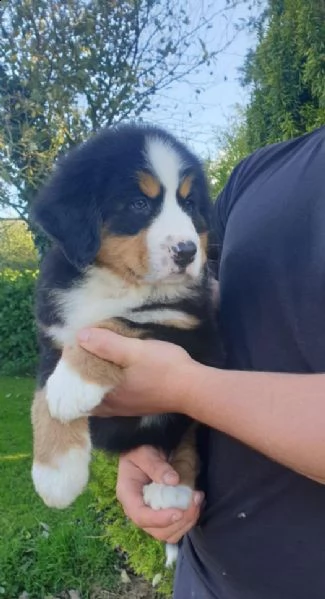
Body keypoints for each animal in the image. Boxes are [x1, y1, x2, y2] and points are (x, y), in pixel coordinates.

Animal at [31, 123, 223, 568]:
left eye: (189, 204)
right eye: (138, 203)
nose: (188, 251)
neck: (117, 282)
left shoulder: (186, 325)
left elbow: (121, 322)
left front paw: (72, 386)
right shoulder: (52, 335)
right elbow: (41, 399)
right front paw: (56, 472)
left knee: (186, 439)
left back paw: (173, 488)